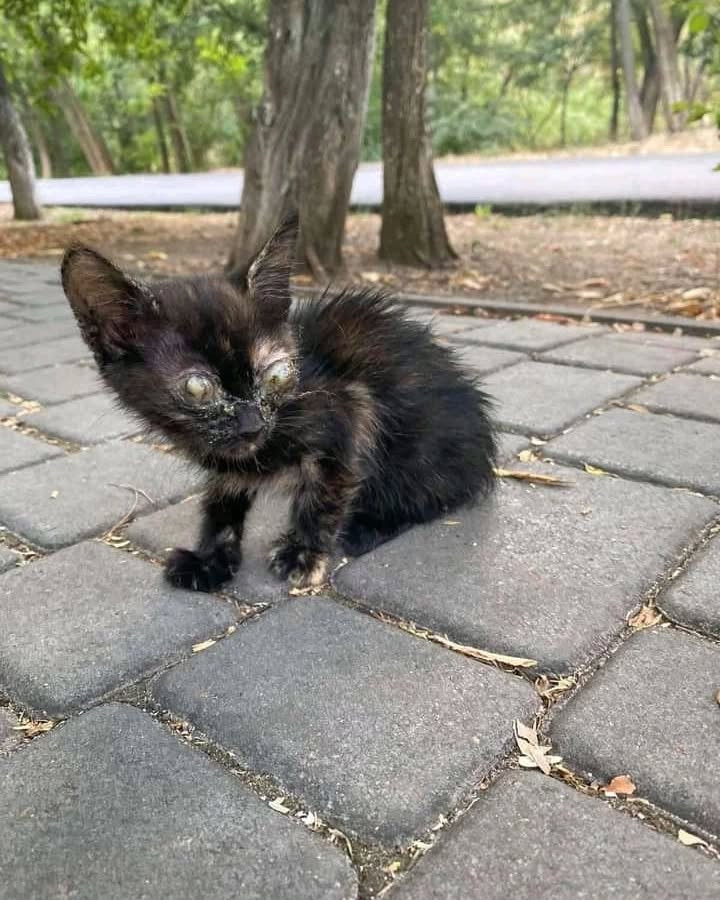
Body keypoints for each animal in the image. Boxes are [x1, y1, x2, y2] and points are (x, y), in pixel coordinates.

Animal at [61, 216, 496, 592]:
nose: (251, 423)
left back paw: (367, 525)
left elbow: (325, 495)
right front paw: (210, 559)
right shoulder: (228, 463)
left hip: (420, 450)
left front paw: (304, 554)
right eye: (198, 388)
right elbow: (221, 503)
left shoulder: (353, 407)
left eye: (276, 375)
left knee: (429, 496)